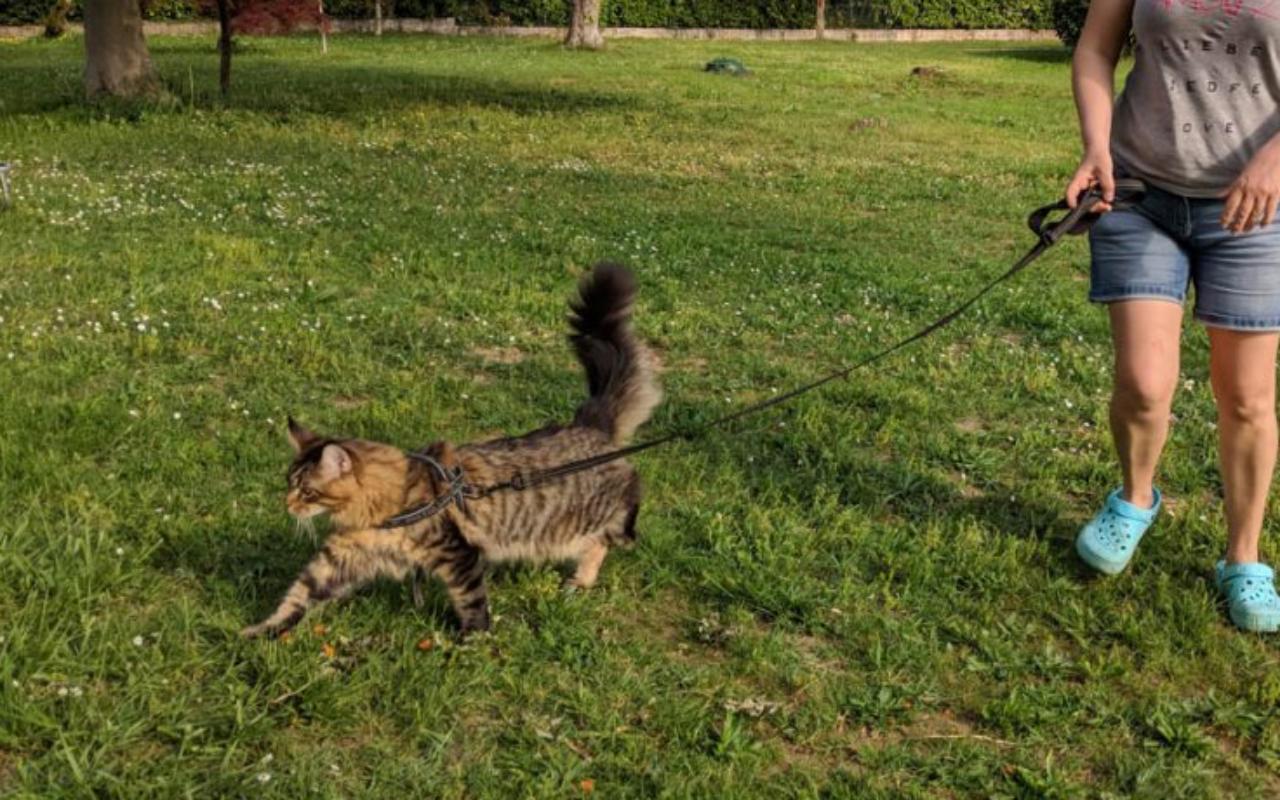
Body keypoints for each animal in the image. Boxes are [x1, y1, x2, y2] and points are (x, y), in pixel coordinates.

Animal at [241, 264, 660, 640]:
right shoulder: (341, 557)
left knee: (617, 531)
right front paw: (260, 631)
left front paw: (472, 640)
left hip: (600, 516)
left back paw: (584, 577)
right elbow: (299, 595)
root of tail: (589, 424)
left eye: (306, 491)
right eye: (288, 484)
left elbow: (472, 602)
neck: (383, 508)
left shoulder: (457, 555)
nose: (287, 504)